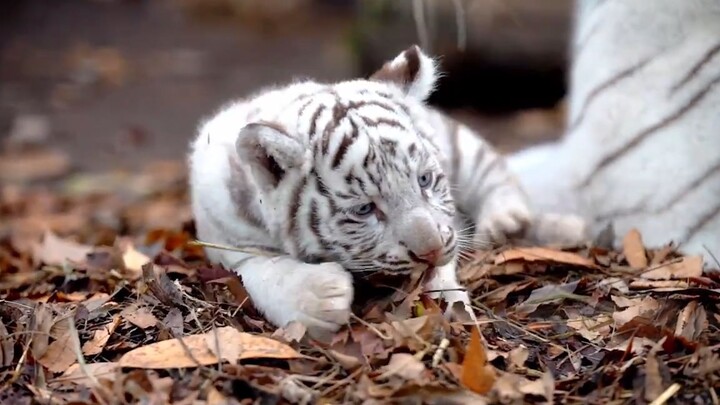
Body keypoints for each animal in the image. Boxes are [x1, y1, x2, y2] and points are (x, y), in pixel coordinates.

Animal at [187, 45, 568, 338]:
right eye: (364, 210)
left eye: (424, 180)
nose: (430, 250)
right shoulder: (223, 239)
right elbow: (259, 268)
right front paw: (321, 297)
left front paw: (452, 306)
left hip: (460, 145)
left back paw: (509, 222)